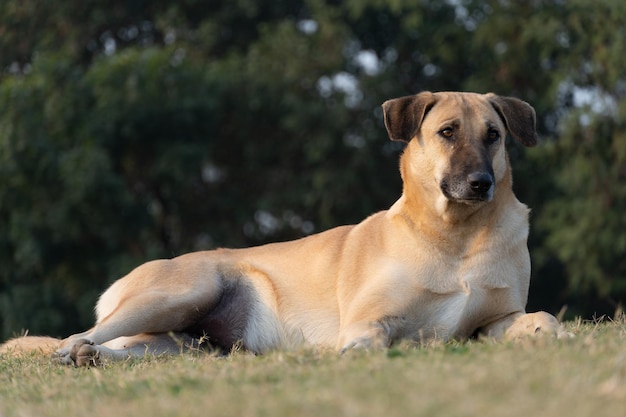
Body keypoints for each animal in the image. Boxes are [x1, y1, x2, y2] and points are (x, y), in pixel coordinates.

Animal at [1, 91, 564, 364]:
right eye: (447, 132)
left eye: (493, 136)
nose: (480, 184)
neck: (455, 238)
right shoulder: (368, 321)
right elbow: (377, 339)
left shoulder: (492, 320)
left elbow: (541, 318)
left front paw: (549, 332)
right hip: (182, 291)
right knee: (73, 337)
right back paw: (73, 352)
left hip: (177, 346)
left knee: (126, 354)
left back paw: (92, 360)